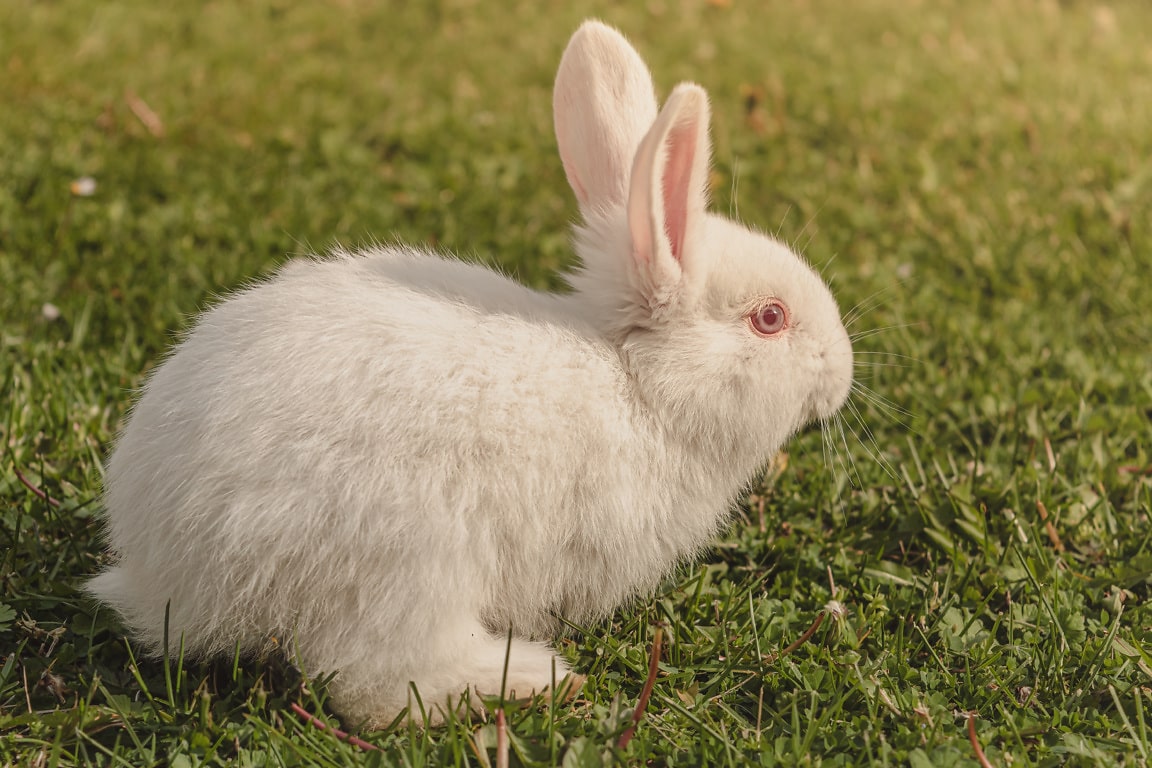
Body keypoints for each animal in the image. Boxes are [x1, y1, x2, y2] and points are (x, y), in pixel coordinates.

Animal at [87, 17, 857, 727]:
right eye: (770, 319)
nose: (843, 373)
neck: (641, 388)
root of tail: (166, 570)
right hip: (407, 564)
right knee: (381, 687)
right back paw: (534, 678)